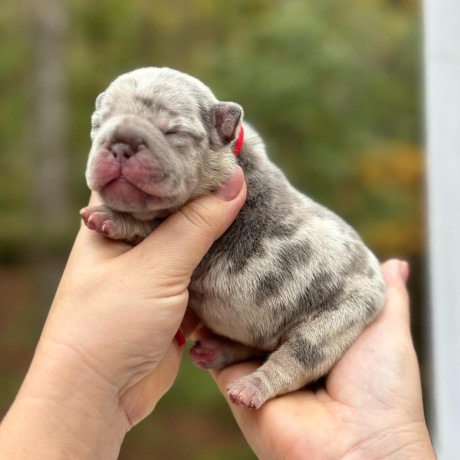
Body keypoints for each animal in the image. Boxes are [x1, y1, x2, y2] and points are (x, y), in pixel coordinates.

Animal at [82, 65, 384, 410]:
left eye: (172, 132)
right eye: (99, 124)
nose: (120, 144)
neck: (230, 158)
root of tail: (380, 287)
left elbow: (151, 223)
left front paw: (110, 217)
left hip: (334, 324)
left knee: (294, 360)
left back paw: (251, 387)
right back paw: (218, 350)